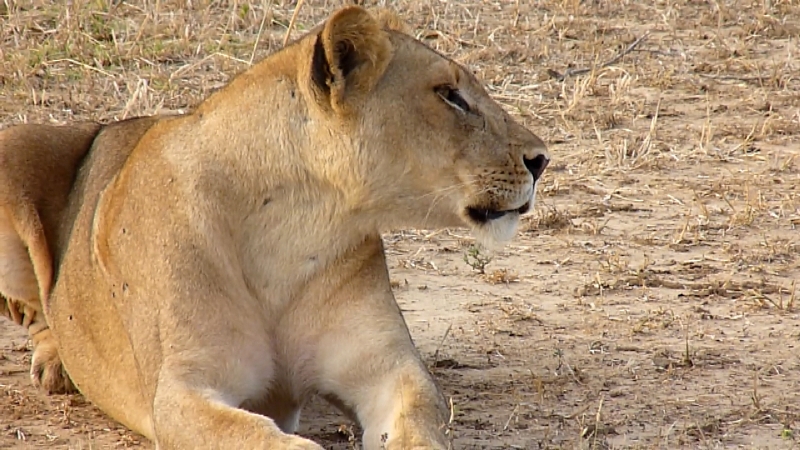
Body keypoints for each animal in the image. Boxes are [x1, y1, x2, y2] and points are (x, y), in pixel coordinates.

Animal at [0, 6, 549, 450]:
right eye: (449, 95)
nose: (541, 160)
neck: (292, 227)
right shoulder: (181, 391)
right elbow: (255, 434)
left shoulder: (388, 369)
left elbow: (417, 419)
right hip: (16, 144)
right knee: (39, 310)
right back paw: (54, 363)